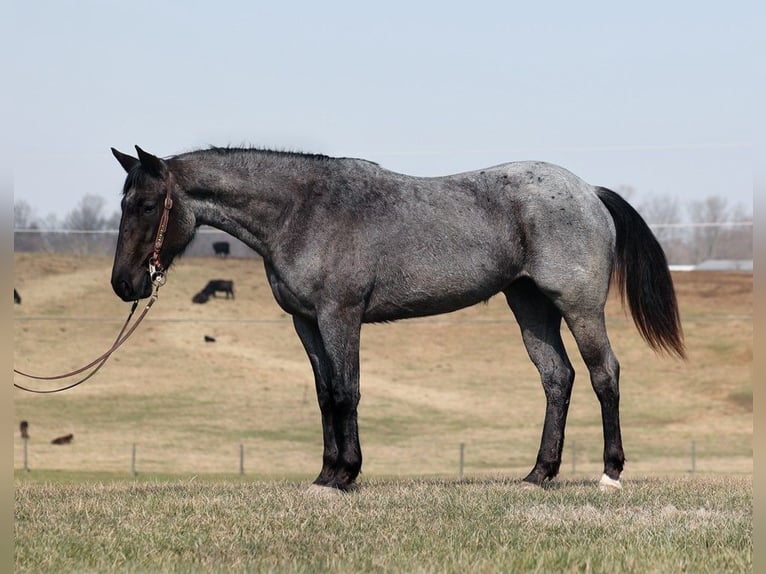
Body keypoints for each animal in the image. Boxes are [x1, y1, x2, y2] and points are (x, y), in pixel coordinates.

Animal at [111, 146, 688, 492]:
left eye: (146, 205)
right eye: (124, 203)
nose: (124, 285)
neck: (302, 210)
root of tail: (589, 192)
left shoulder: (340, 317)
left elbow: (347, 392)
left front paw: (346, 473)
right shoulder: (307, 324)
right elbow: (325, 395)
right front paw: (325, 474)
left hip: (578, 306)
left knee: (603, 374)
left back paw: (610, 474)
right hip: (529, 304)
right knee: (557, 378)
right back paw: (538, 474)